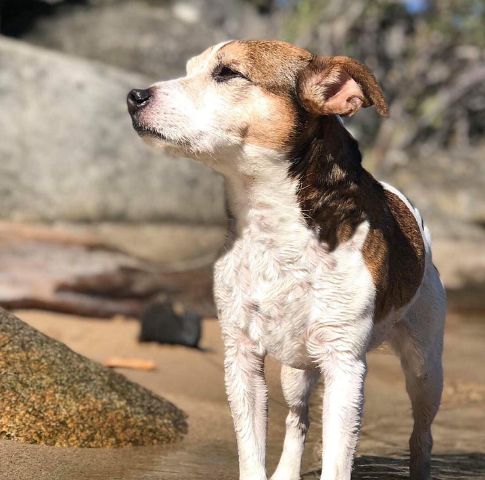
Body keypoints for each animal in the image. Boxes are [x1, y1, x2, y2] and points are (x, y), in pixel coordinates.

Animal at [126, 40, 444, 480]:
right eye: (190, 69)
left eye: (227, 73)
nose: (134, 96)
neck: (271, 226)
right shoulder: (241, 358)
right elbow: (252, 451)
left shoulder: (345, 366)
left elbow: (337, 460)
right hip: (296, 370)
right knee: (298, 418)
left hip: (425, 369)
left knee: (422, 434)